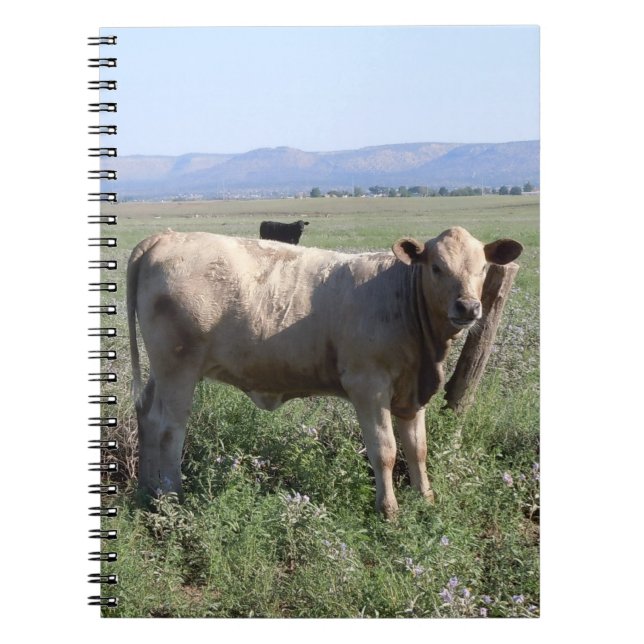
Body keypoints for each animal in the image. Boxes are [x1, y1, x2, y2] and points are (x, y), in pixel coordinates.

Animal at [127, 227, 522, 518]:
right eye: (437, 267)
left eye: (482, 268)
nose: (468, 307)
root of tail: (165, 236)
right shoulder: (368, 385)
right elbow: (385, 450)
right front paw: (389, 510)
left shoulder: (412, 393)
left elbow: (418, 449)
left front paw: (426, 499)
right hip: (178, 367)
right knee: (170, 427)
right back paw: (173, 495)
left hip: (163, 368)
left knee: (147, 414)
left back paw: (147, 490)